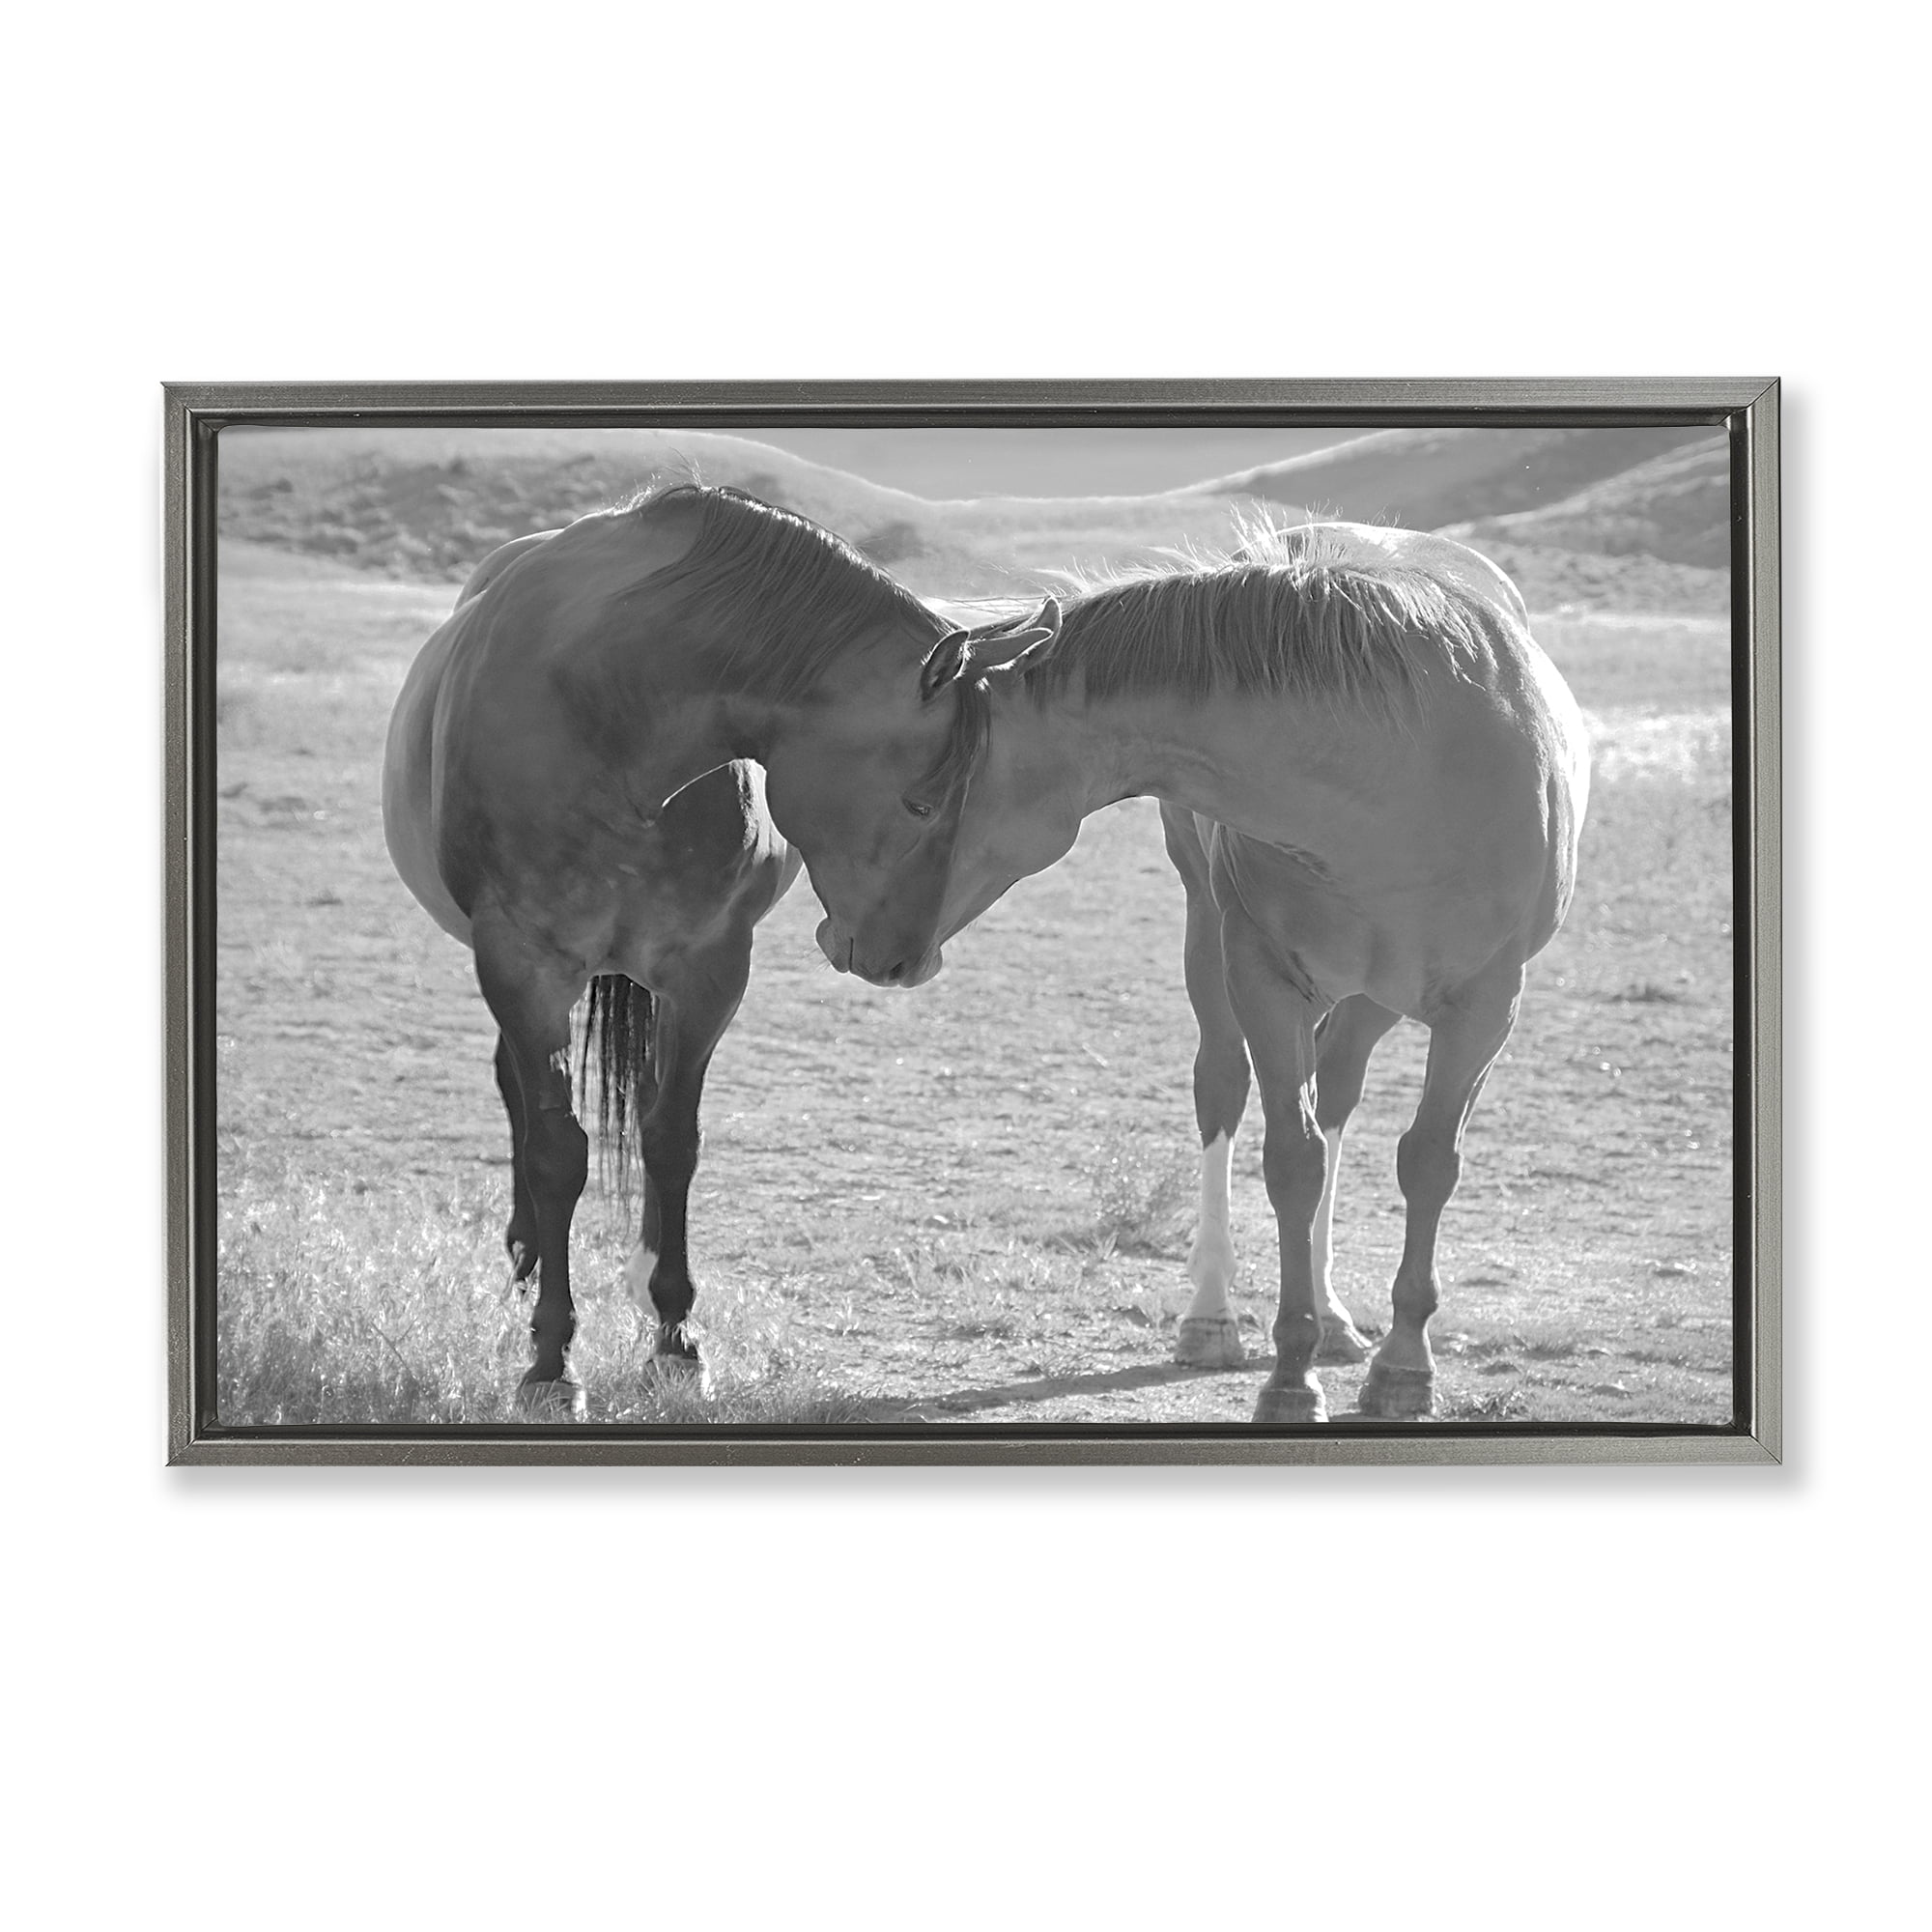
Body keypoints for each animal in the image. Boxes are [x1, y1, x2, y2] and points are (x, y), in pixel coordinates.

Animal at [382, 483, 1050, 1417]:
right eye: (921, 802)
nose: (908, 961)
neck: (609, 715)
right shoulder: (521, 964)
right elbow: (557, 1152)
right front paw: (551, 1361)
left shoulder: (707, 970)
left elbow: (672, 1139)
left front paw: (674, 1337)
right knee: (517, 1091)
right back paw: (524, 1254)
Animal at [821, 517, 1590, 1424]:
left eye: (919, 799)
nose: (846, 942)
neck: (1401, 771)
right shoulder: (1260, 976)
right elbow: (1292, 1162)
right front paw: (1290, 1376)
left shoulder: (1486, 1006)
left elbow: (1429, 1163)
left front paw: (1403, 1367)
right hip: (1211, 939)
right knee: (1224, 1088)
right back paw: (1213, 1317)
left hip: (1374, 996)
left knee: (1339, 1094)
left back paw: (1336, 1316)